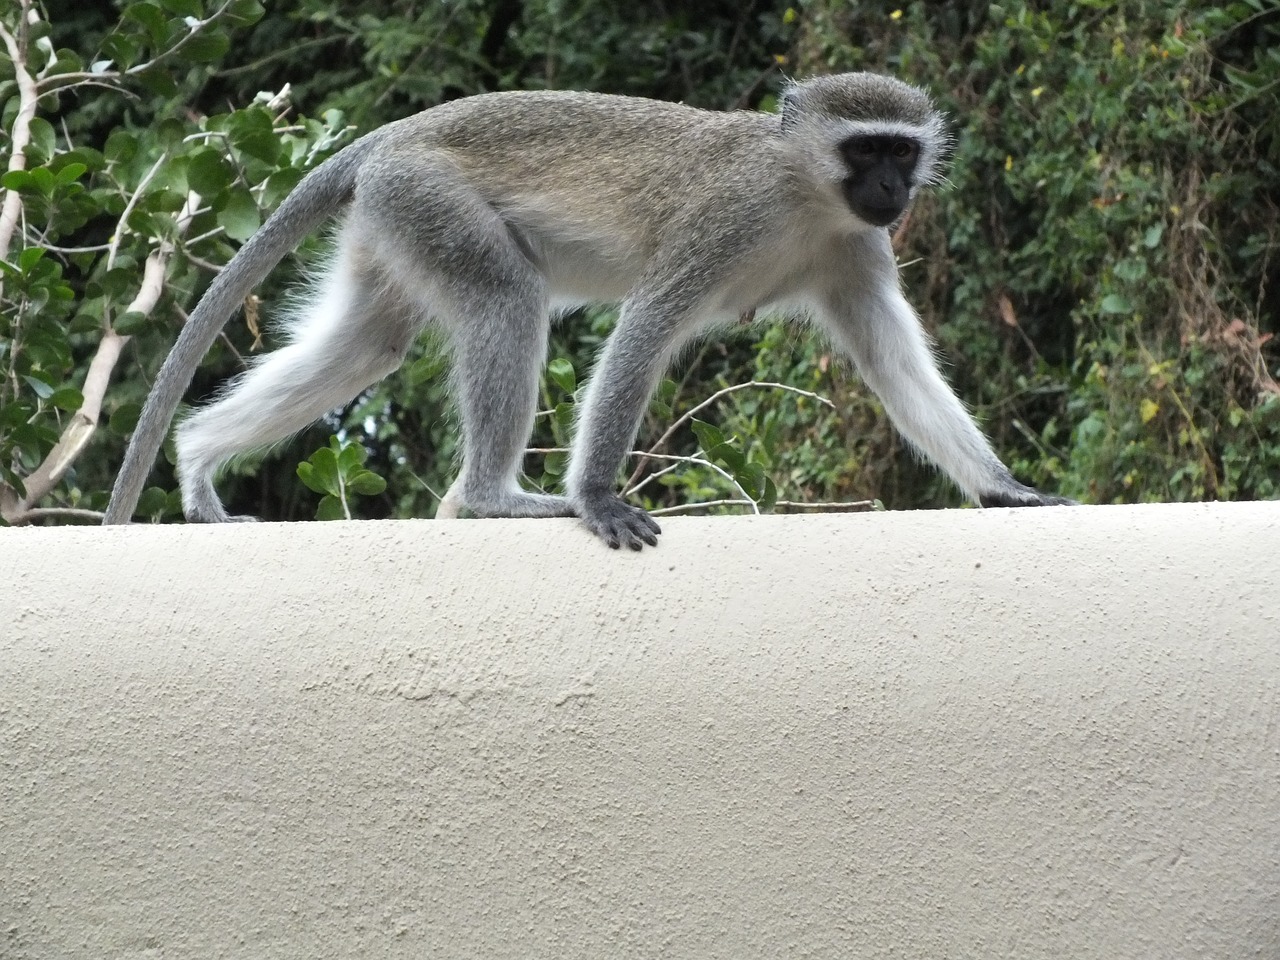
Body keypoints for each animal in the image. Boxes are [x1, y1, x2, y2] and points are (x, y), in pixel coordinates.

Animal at [104, 73, 1075, 547]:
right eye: (864, 149)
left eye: (901, 153)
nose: (888, 191)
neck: (806, 194)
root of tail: (398, 134)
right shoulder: (728, 219)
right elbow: (648, 326)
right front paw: (599, 498)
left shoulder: (858, 250)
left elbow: (894, 363)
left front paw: (1004, 487)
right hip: (430, 199)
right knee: (504, 300)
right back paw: (493, 500)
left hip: (393, 216)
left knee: (367, 345)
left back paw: (197, 457)